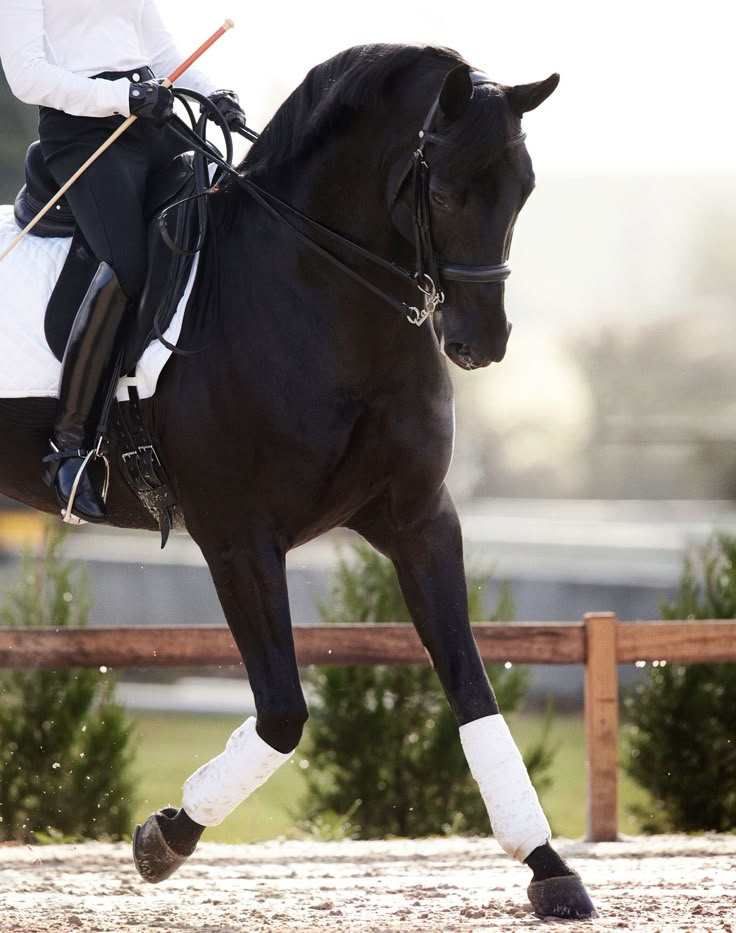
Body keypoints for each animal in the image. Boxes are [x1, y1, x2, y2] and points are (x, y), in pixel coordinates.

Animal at [0, 43, 596, 916]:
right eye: (443, 191)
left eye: (523, 187)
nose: (481, 342)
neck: (322, 291)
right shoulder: (239, 539)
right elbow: (283, 712)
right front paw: (166, 835)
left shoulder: (418, 519)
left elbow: (473, 688)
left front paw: (550, 866)